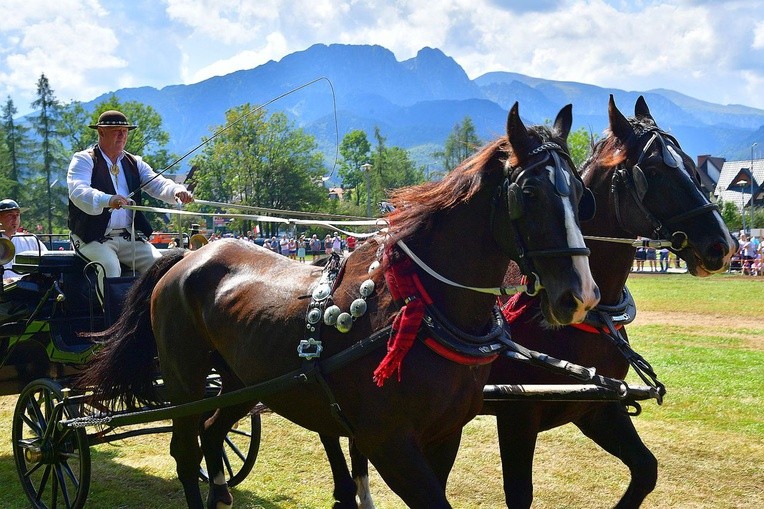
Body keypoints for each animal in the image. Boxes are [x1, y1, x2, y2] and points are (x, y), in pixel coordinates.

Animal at [79, 103, 604, 508]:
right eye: (529, 192)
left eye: (583, 194)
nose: (581, 296)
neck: (424, 306)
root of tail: (188, 256)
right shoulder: (390, 444)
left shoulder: (444, 435)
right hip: (185, 382)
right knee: (185, 451)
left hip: (241, 382)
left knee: (212, 431)